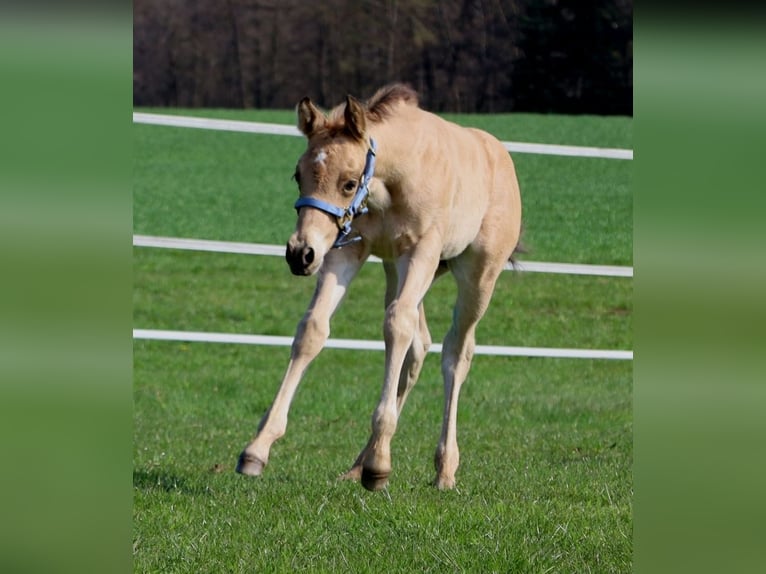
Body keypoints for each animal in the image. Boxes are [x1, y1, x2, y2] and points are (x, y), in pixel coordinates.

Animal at [237, 84, 522, 491]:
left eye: (348, 183)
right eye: (298, 175)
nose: (300, 254)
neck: (395, 180)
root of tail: (500, 155)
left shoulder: (422, 251)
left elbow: (397, 325)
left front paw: (380, 465)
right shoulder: (347, 249)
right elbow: (313, 329)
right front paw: (257, 449)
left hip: (477, 275)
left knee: (456, 352)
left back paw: (443, 468)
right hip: (394, 268)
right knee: (418, 346)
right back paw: (361, 463)